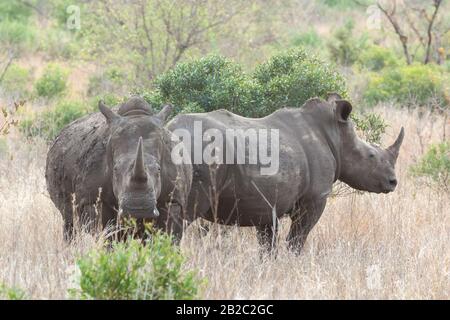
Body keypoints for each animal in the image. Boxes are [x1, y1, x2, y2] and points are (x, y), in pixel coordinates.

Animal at [45, 97, 192, 240]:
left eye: (159, 169)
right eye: (115, 169)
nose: (139, 208)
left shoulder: (173, 199)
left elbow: (168, 235)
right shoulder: (92, 200)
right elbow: (106, 233)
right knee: (70, 222)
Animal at [168, 94, 404, 254]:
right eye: (371, 155)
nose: (393, 182)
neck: (336, 137)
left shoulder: (266, 202)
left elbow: (268, 244)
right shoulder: (314, 199)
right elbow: (297, 239)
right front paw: (292, 264)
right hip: (199, 150)